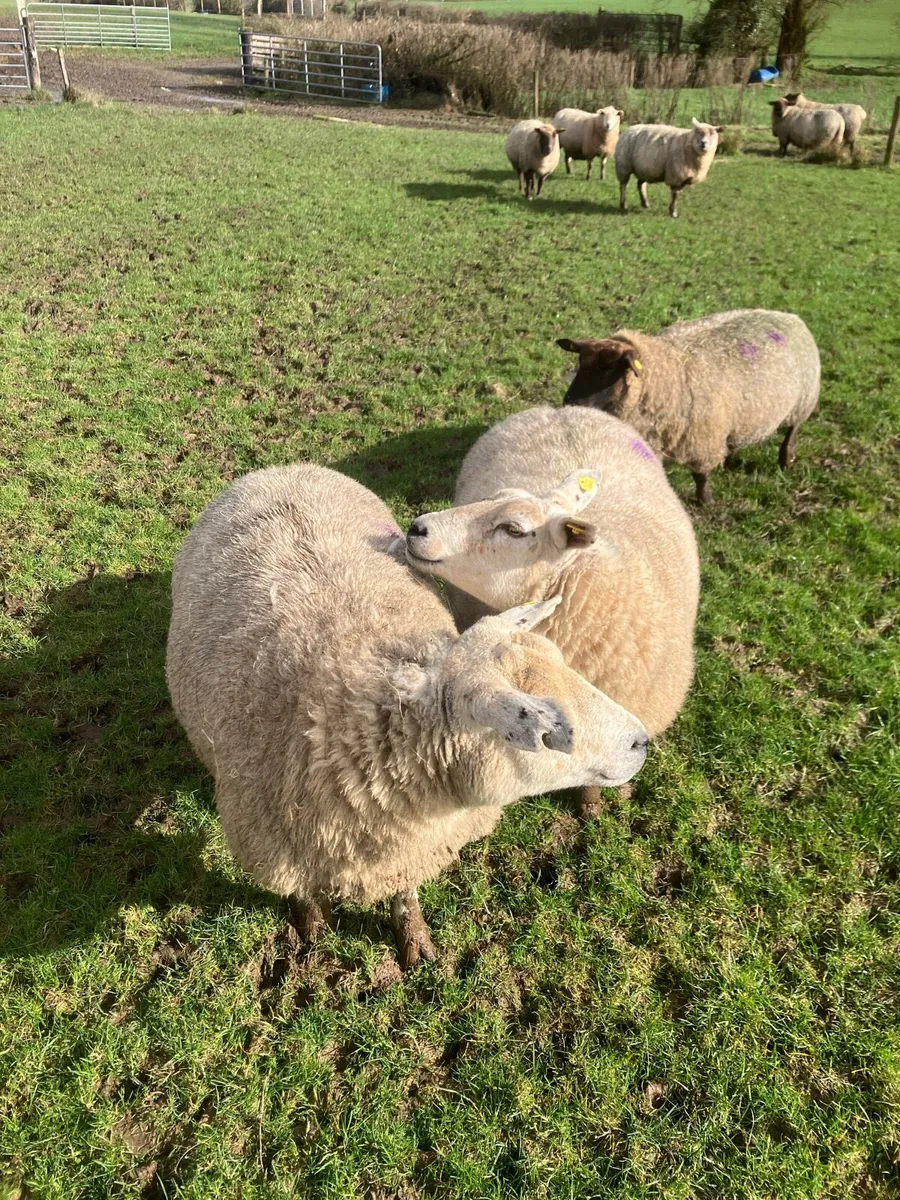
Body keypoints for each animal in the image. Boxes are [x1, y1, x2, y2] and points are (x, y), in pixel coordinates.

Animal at [167, 463, 649, 968]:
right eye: (544, 735)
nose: (642, 742)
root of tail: (283, 469)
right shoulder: (280, 852)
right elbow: (304, 898)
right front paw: (312, 935)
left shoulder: (412, 849)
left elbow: (406, 896)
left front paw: (415, 944)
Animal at [558, 308, 820, 505]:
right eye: (581, 361)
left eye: (609, 367)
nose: (570, 402)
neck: (667, 375)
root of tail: (788, 315)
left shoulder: (702, 440)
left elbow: (701, 475)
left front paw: (706, 502)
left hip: (803, 400)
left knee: (793, 430)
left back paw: (786, 460)